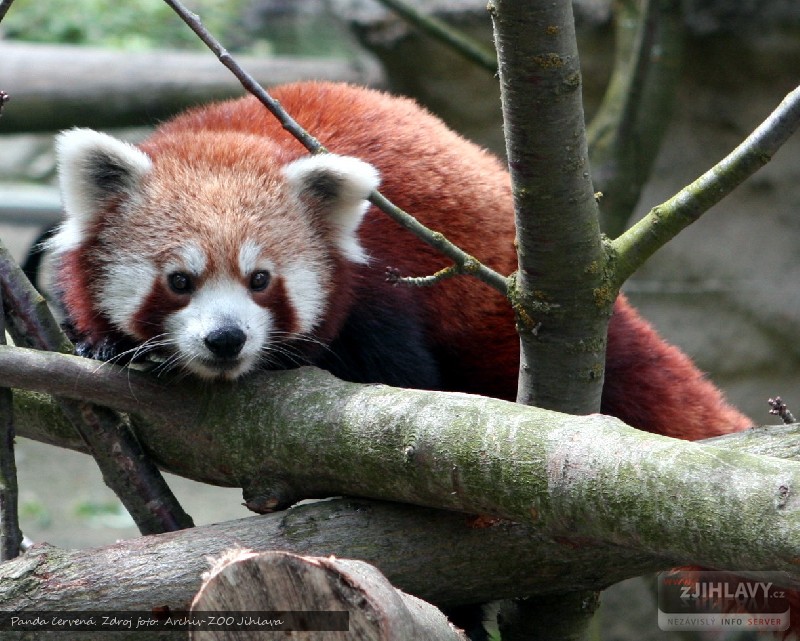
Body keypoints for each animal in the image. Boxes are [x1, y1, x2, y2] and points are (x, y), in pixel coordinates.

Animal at [50, 81, 752, 440]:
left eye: (261, 280)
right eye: (179, 281)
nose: (226, 340)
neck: (235, 136)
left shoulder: (380, 291)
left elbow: (404, 376)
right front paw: (101, 344)